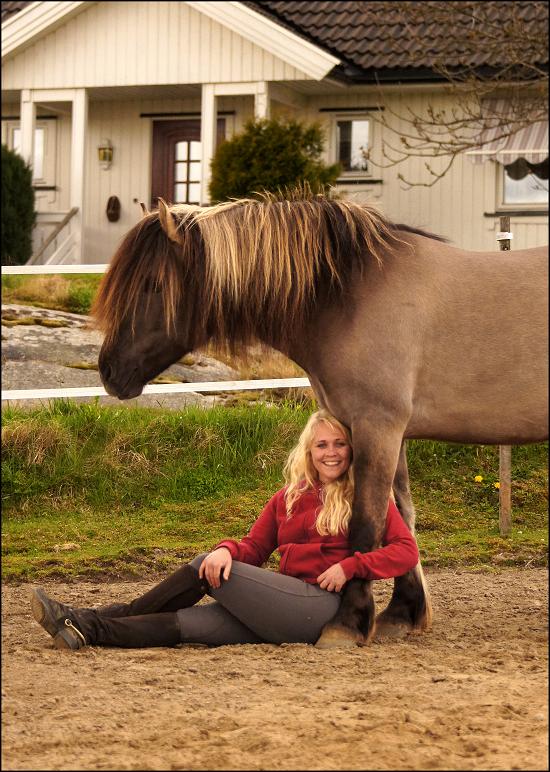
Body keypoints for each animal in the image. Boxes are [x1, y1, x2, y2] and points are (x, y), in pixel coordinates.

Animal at [92, 191, 548, 649]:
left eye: (153, 285)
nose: (110, 371)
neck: (348, 296)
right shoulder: (387, 433)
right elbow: (401, 518)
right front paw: (402, 613)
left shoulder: (376, 427)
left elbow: (367, 524)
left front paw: (348, 621)